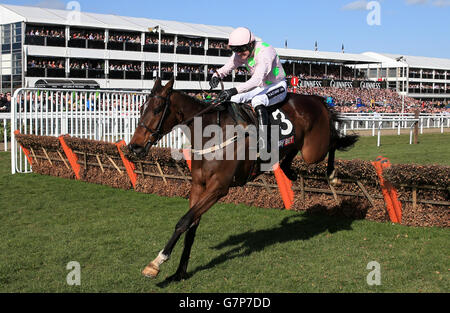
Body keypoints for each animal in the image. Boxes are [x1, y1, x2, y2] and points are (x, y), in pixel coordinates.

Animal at [128, 77, 356, 280]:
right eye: (141, 108)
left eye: (157, 109)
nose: (134, 146)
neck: (211, 135)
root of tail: (318, 99)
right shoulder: (198, 185)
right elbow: (191, 225)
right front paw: (180, 272)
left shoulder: (218, 188)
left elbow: (183, 221)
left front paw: (156, 262)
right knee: (295, 149)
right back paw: (287, 169)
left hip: (313, 151)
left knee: (334, 141)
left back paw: (332, 175)